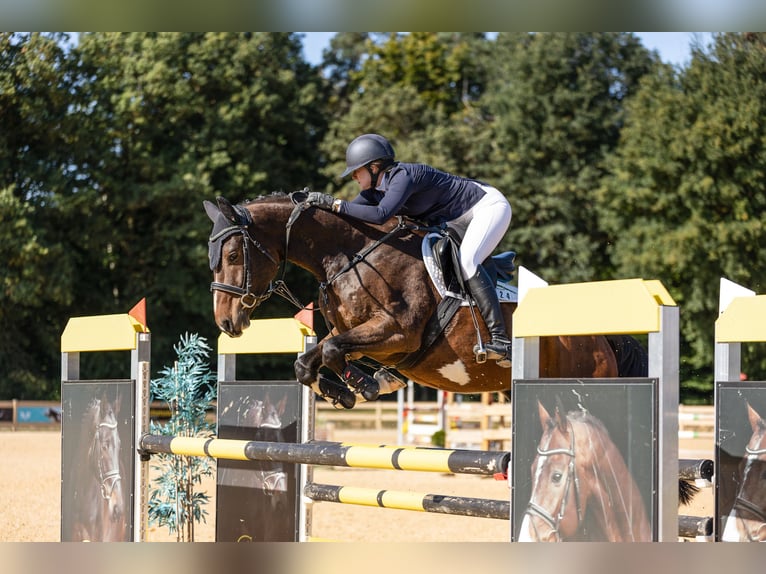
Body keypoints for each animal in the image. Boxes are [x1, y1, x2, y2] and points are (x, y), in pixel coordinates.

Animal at [203, 192, 641, 409]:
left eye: (233, 256)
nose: (226, 323)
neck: (351, 254)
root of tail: (601, 339)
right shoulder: (364, 337)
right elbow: (309, 360)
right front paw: (350, 389)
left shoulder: (398, 334)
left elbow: (328, 349)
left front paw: (360, 385)